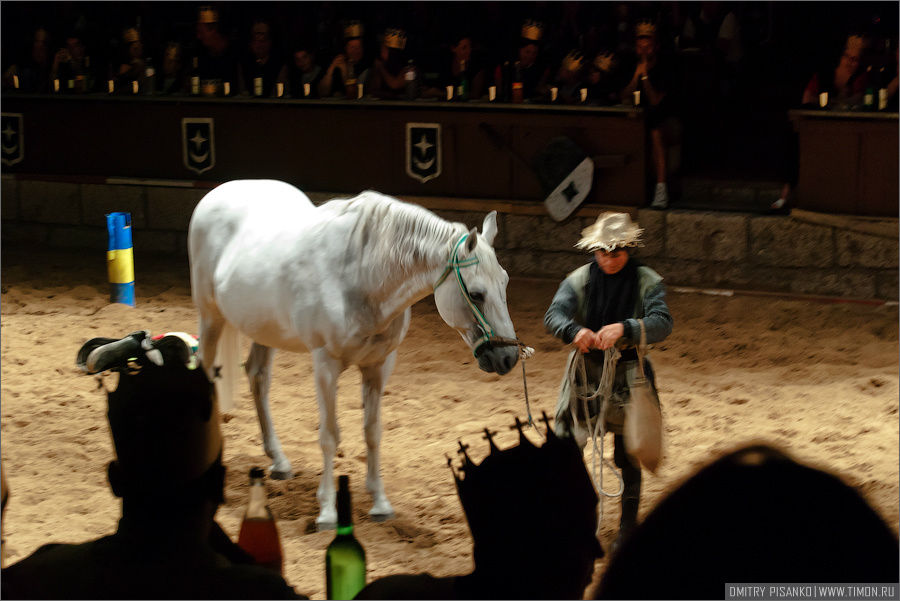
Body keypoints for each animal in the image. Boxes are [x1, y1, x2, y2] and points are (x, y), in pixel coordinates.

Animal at [186, 180, 516, 528]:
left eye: (505, 282)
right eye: (477, 294)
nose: (508, 356)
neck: (361, 275)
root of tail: (221, 191)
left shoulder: (378, 366)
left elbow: (372, 433)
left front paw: (380, 503)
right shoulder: (325, 364)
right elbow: (330, 435)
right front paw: (327, 511)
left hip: (263, 328)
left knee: (257, 378)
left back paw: (279, 460)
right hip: (210, 316)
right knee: (206, 371)